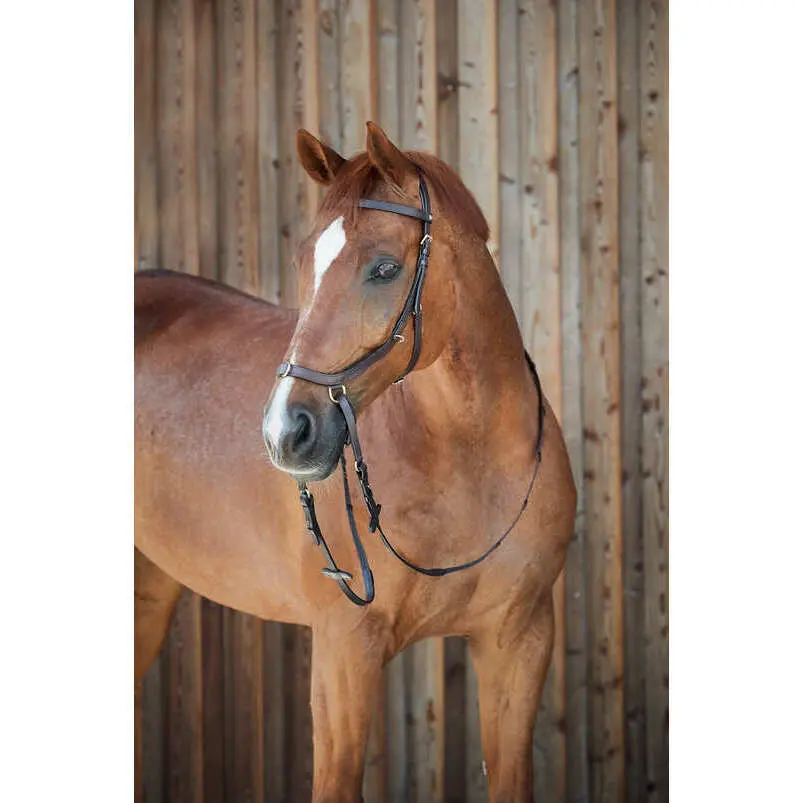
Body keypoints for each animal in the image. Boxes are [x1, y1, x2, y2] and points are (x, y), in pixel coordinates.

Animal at [134, 121, 577, 803]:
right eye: (303, 262)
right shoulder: (344, 652)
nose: (285, 432)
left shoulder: (521, 642)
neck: (469, 469)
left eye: (385, 268)